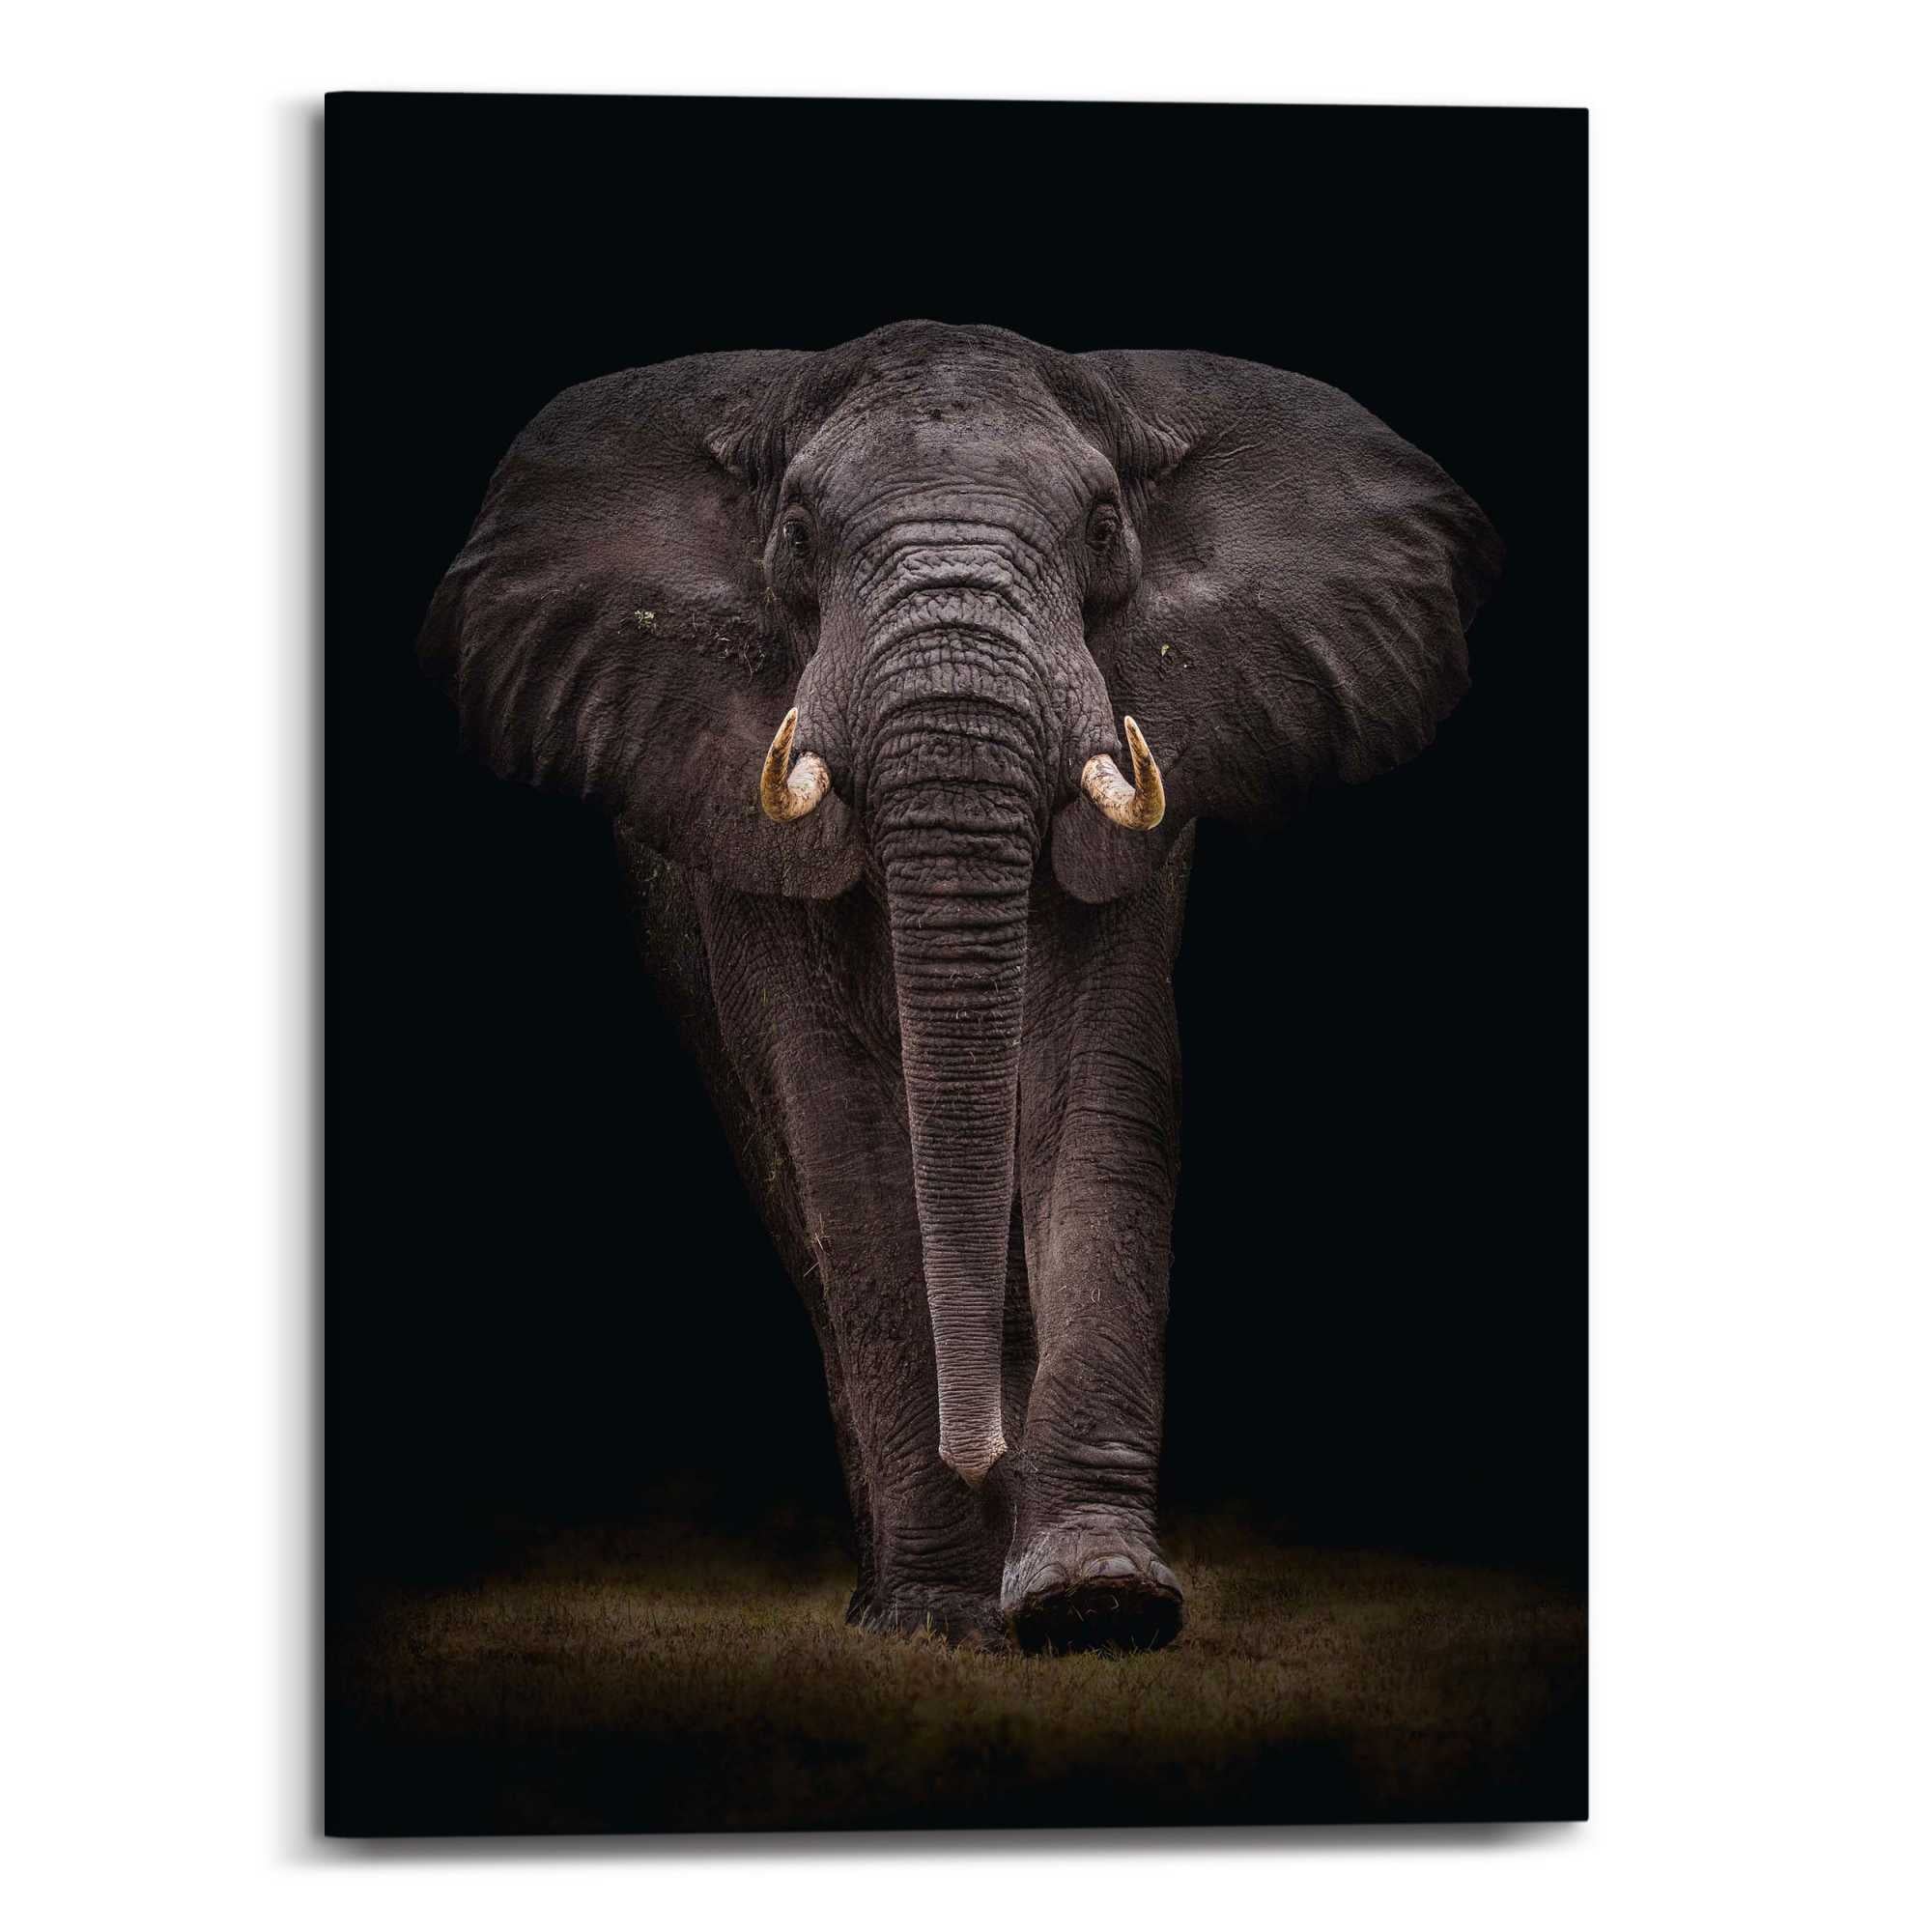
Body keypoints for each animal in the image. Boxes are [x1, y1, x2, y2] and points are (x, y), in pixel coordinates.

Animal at [418, 320, 1501, 1652]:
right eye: (795, 532)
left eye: (1102, 523)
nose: (977, 1449)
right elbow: (843, 1131)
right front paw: (938, 1614)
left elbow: (1097, 1090)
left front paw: (1096, 1601)